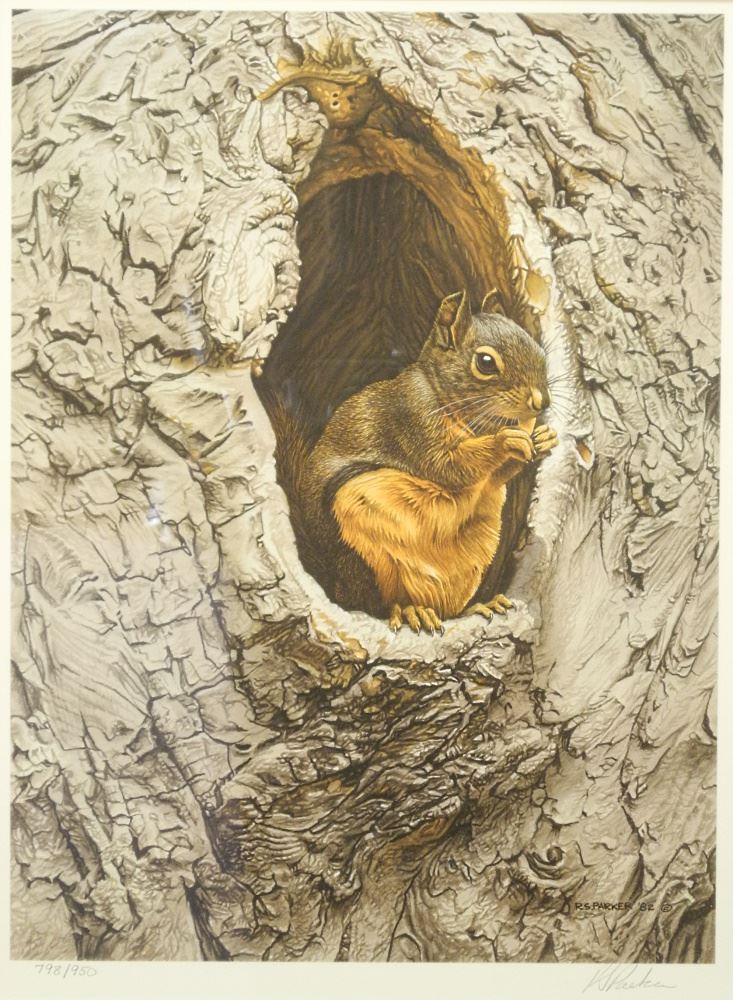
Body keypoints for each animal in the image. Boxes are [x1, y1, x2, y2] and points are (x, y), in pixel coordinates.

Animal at [281, 289, 557, 634]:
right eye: (486, 362)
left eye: (538, 348)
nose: (541, 402)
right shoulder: (412, 418)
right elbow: (451, 467)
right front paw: (506, 441)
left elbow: (495, 477)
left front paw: (542, 439)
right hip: (365, 556)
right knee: (376, 604)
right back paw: (411, 610)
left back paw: (477, 605)